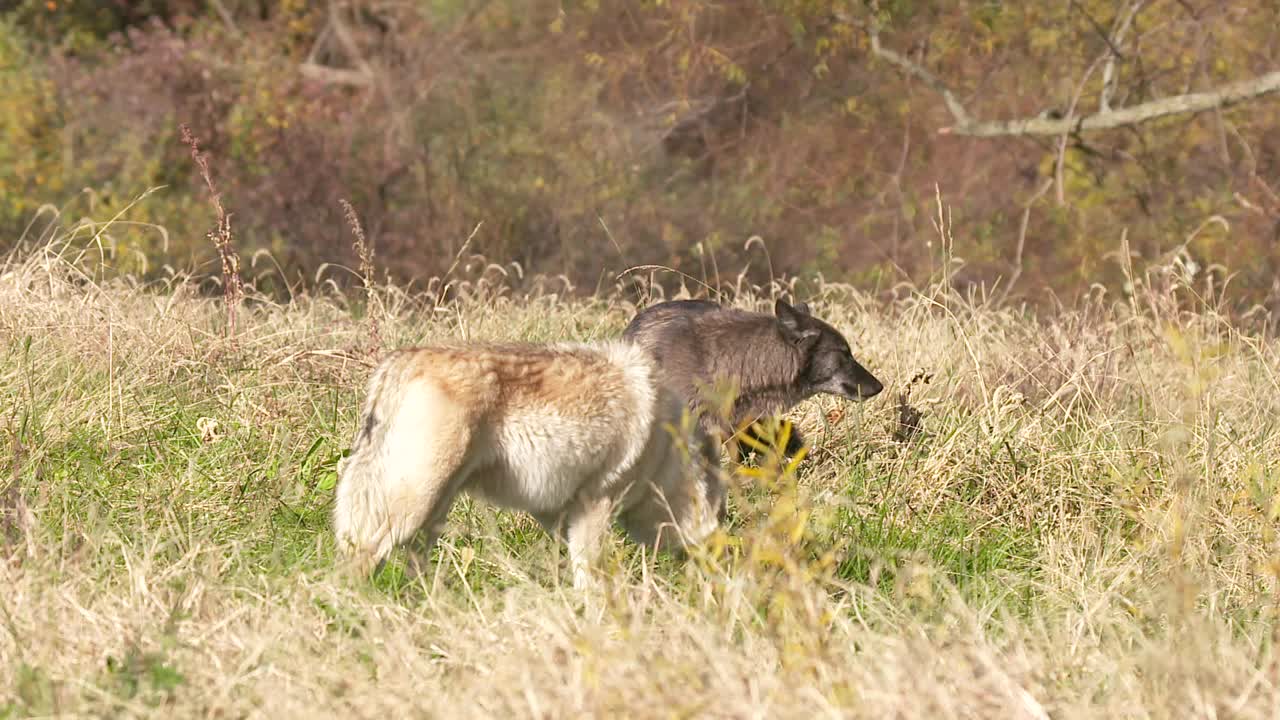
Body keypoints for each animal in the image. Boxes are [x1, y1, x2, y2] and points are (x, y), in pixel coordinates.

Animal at [332, 338, 732, 586]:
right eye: (724, 509)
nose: (724, 553)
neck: (665, 451)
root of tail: (400, 360)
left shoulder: (555, 512)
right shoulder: (595, 505)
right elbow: (590, 577)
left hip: (433, 512)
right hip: (412, 507)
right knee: (360, 560)